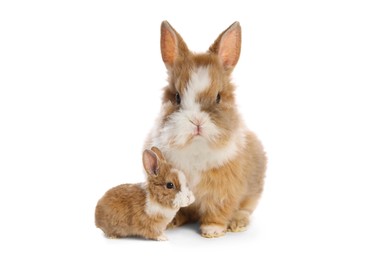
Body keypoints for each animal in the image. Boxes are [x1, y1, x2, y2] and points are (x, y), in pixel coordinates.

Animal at [145, 21, 266, 239]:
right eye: (177, 97)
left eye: (218, 97)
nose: (197, 121)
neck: (196, 146)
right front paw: (170, 221)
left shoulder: (224, 190)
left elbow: (218, 209)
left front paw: (212, 231)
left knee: (245, 209)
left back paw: (237, 223)